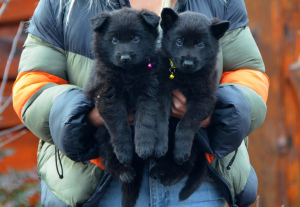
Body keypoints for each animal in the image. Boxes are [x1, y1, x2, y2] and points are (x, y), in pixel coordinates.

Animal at [83, 7, 165, 207]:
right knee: (108, 161)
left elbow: (145, 120)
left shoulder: (150, 90)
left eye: (136, 38)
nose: (125, 57)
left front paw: (144, 146)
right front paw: (125, 151)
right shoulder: (108, 96)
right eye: (114, 40)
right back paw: (124, 171)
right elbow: (120, 127)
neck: (128, 74)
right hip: (102, 136)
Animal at [150, 8, 230, 201]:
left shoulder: (204, 98)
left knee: (188, 166)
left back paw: (172, 174)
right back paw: (160, 168)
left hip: (196, 150)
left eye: (200, 44)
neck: (183, 76)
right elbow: (161, 120)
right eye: (179, 41)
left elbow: (186, 123)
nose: (187, 63)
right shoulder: (161, 90)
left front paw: (181, 149)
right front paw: (160, 145)